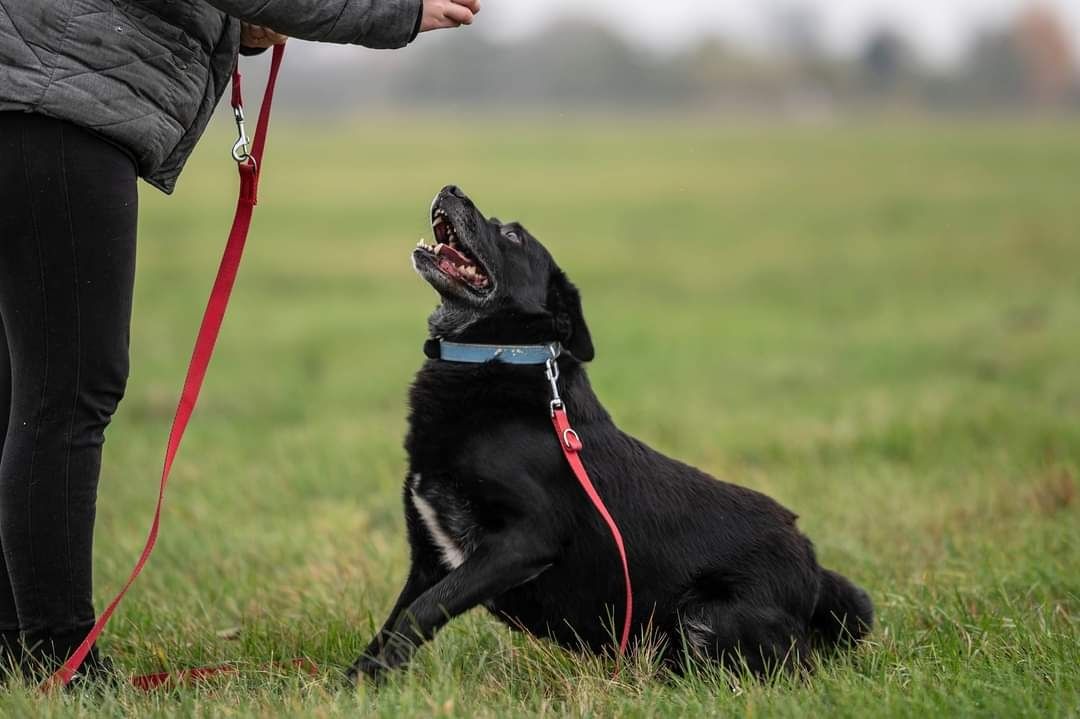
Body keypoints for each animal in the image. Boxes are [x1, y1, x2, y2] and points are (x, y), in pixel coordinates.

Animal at [349, 184, 872, 677]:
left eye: (513, 235)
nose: (452, 188)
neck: (499, 354)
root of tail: (814, 565)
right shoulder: (429, 557)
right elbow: (392, 624)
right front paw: (356, 685)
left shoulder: (525, 539)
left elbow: (420, 611)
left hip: (709, 614)